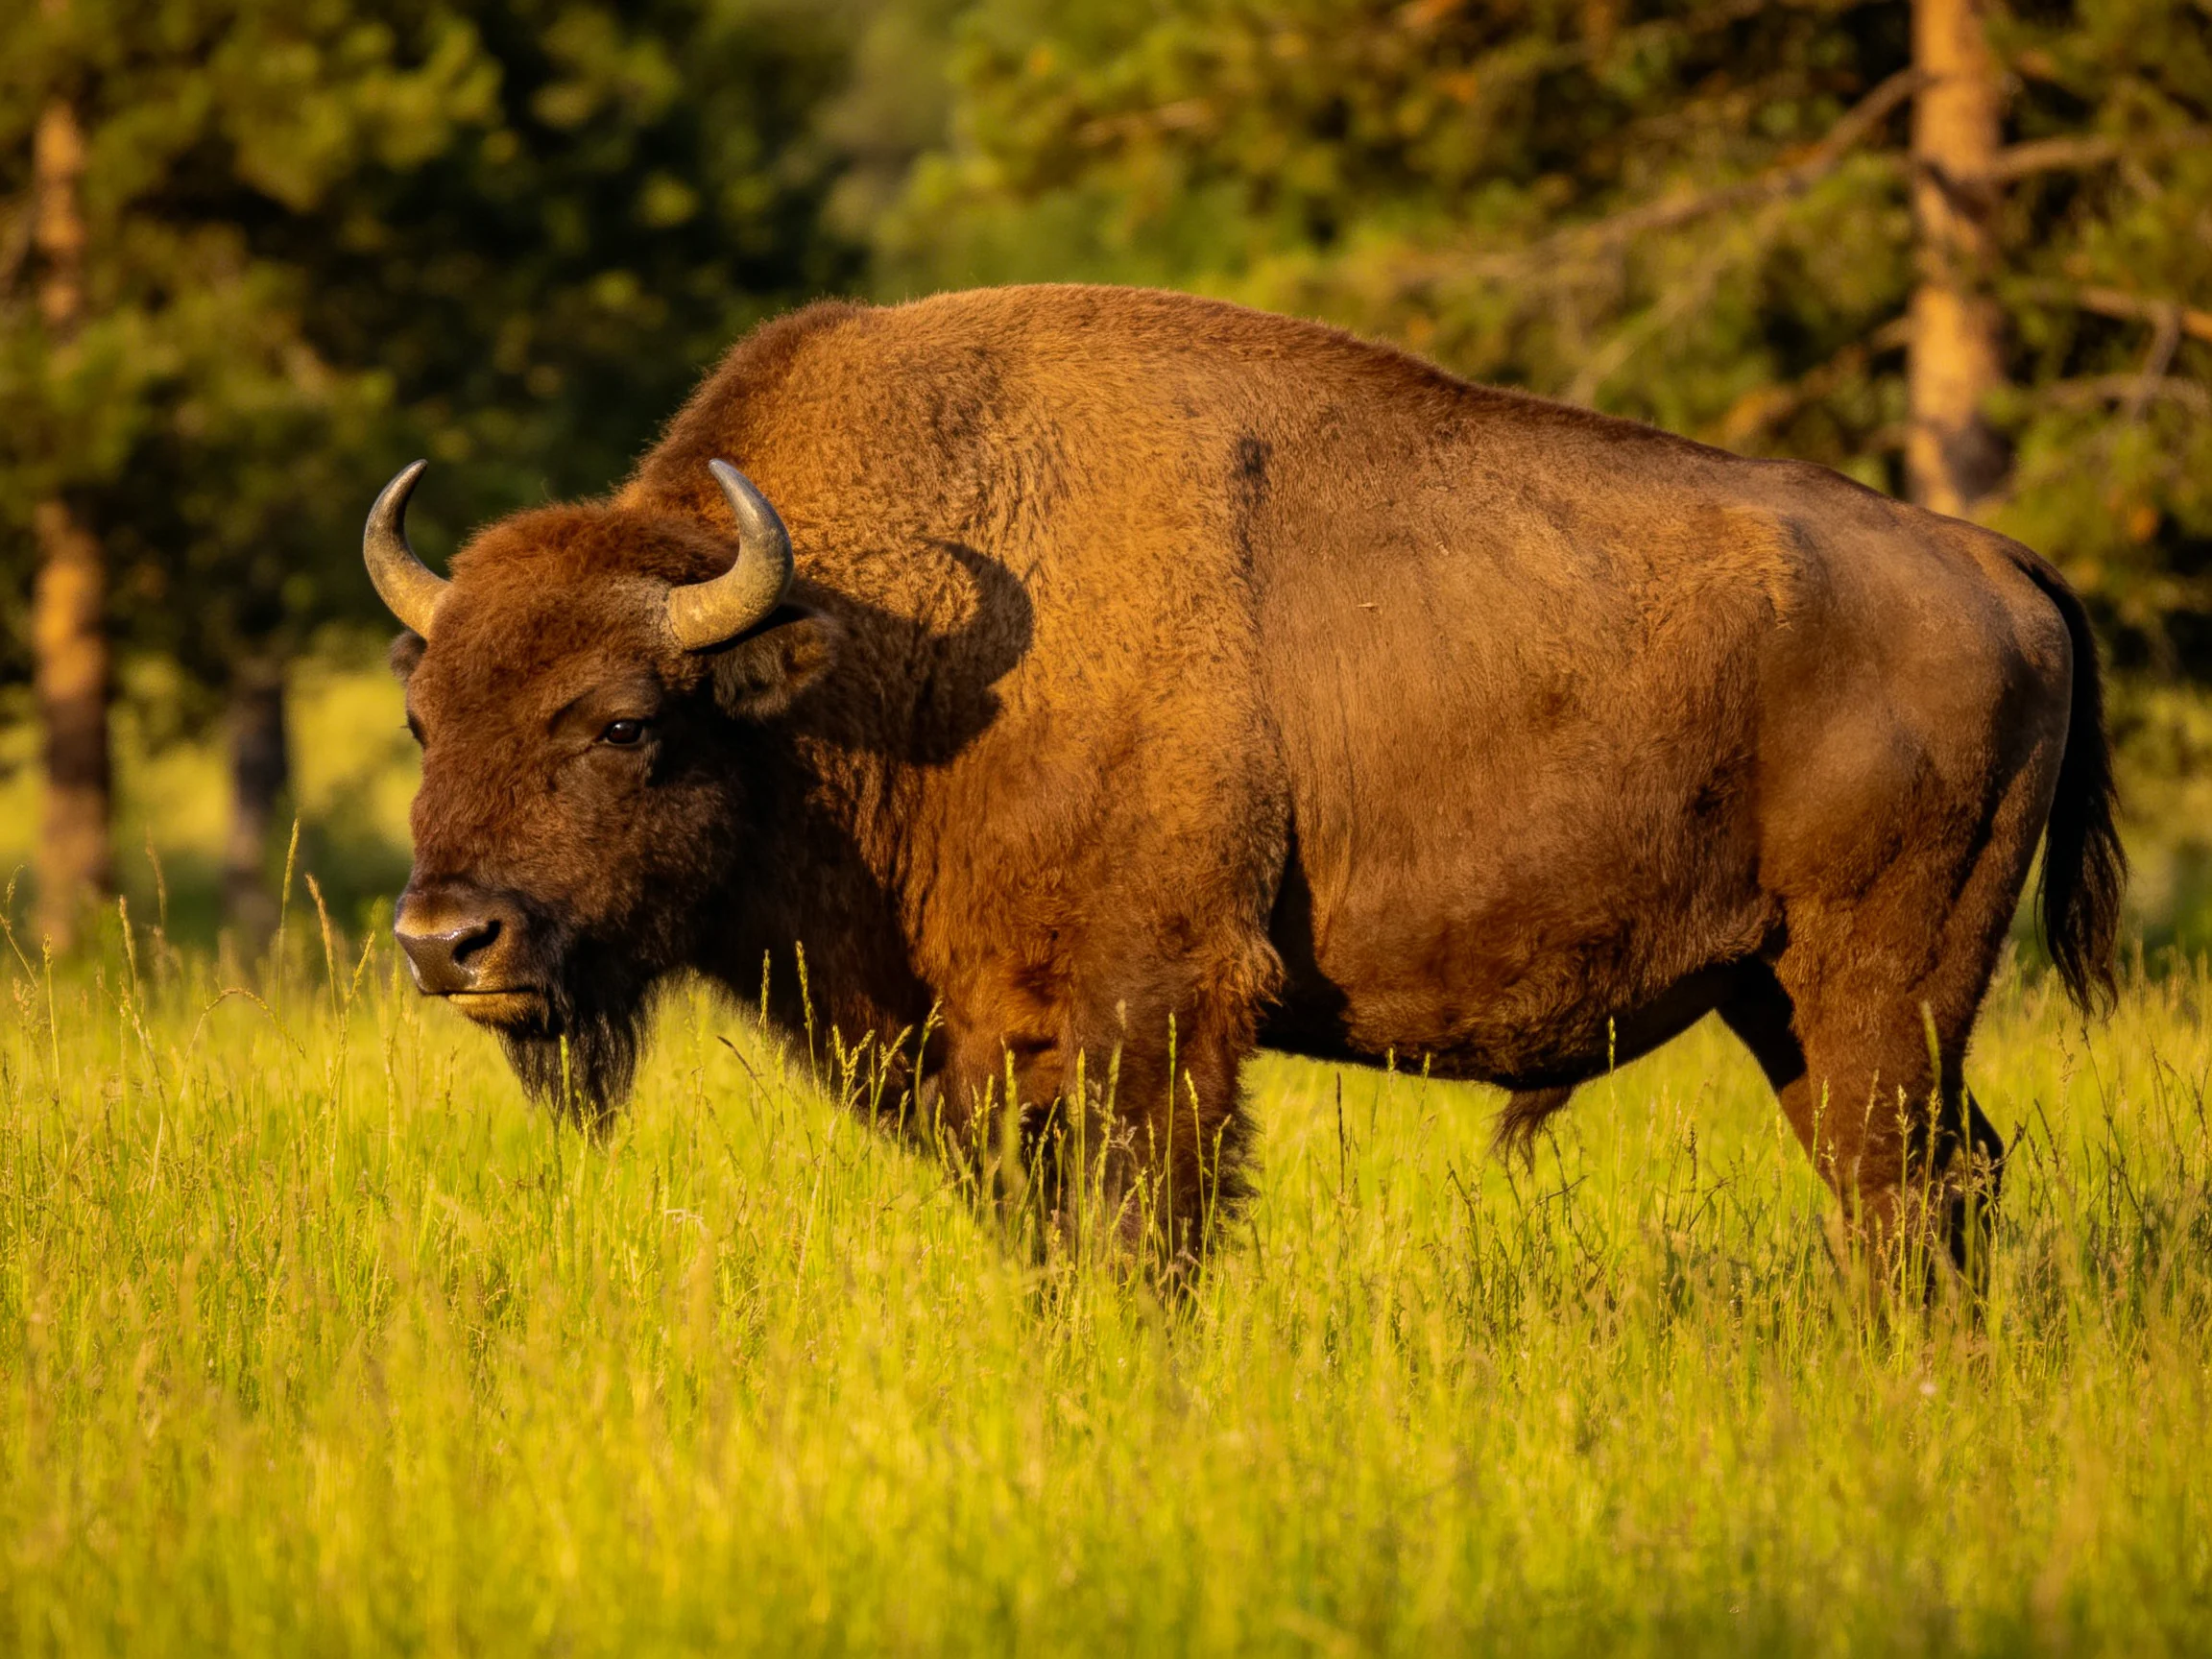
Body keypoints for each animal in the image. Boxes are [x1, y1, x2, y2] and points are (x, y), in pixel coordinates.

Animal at [369, 284, 2121, 1274]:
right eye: (424, 721)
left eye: (621, 723)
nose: (446, 943)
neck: (863, 654)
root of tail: (1994, 563)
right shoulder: (990, 1049)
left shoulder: (1151, 1011)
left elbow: (1152, 1229)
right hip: (1785, 997)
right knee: (1929, 1173)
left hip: (1879, 978)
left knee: (1903, 1178)